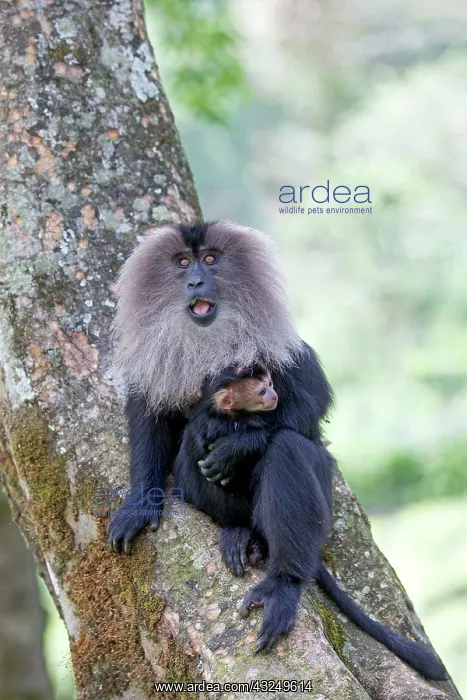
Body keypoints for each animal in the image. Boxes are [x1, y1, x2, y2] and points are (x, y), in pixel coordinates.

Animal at [107, 221, 447, 678]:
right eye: (182, 263)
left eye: (209, 259)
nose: (195, 281)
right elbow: (152, 416)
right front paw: (141, 503)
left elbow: (306, 409)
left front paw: (240, 444)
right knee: (196, 455)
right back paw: (240, 534)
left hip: (320, 508)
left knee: (287, 447)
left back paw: (281, 584)